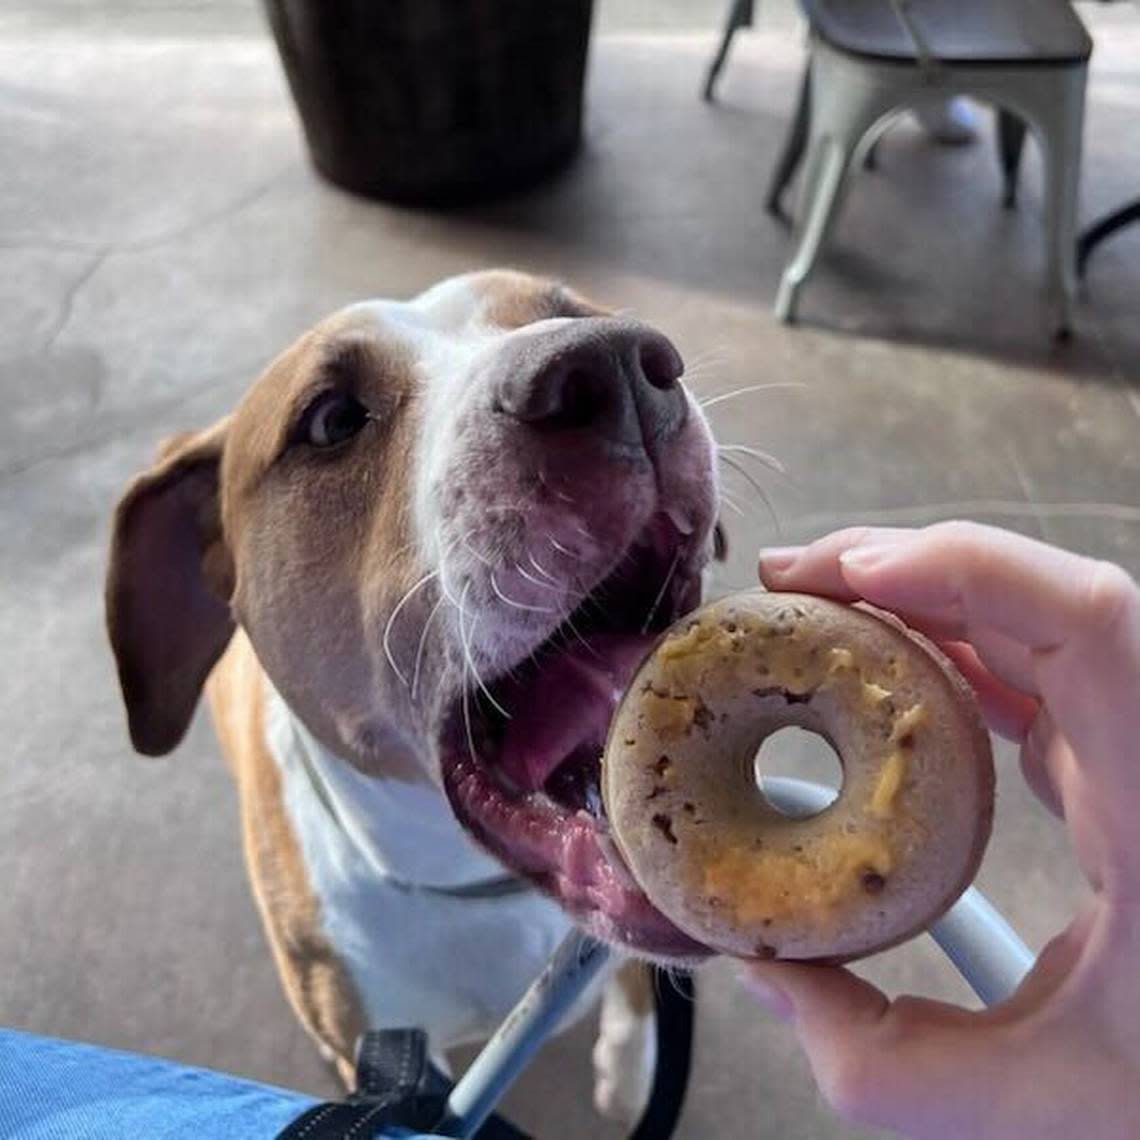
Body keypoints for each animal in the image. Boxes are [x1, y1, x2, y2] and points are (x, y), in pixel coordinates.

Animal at [102, 269, 715, 1121]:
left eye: (571, 312)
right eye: (331, 419)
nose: (616, 363)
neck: (476, 890)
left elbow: (635, 991)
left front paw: (630, 1082)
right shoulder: (373, 1057)